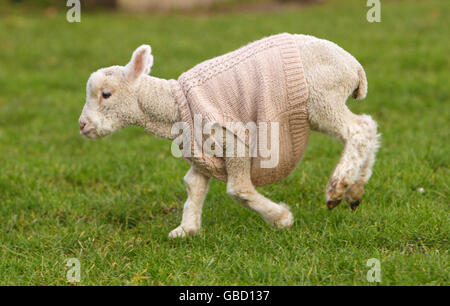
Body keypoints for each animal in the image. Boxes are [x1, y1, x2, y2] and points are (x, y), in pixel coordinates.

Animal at [78, 34, 380, 239]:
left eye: (106, 94)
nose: (82, 125)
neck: (173, 106)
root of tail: (355, 67)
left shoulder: (232, 139)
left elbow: (238, 189)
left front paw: (281, 219)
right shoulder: (202, 152)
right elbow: (193, 186)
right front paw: (186, 229)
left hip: (321, 100)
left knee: (358, 130)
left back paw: (337, 187)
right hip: (325, 102)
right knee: (369, 127)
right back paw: (355, 191)